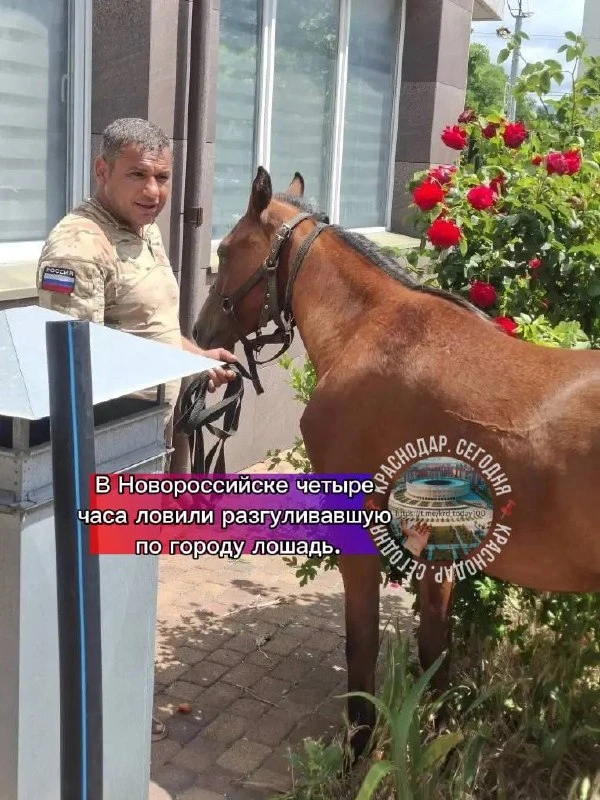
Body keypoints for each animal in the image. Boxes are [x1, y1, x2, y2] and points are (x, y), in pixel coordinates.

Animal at [191, 166, 600, 758]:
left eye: (224, 251)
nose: (199, 333)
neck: (372, 327)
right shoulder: (437, 549)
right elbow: (435, 654)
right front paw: (436, 751)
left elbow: (361, 643)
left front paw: (359, 751)